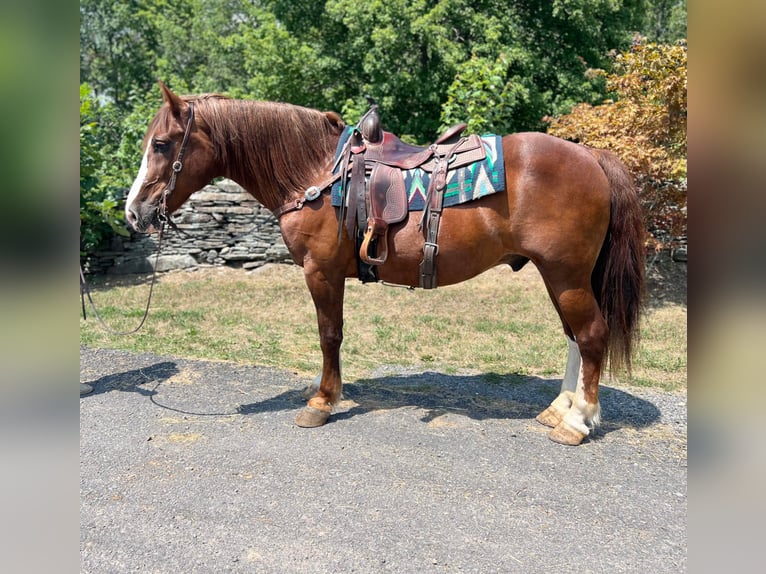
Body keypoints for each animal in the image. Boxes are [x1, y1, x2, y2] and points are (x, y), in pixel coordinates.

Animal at [127, 83, 648, 448]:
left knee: (591, 335)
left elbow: (329, 335)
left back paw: (577, 421)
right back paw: (559, 408)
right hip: (560, 276)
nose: (134, 212)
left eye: (162, 144)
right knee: (574, 338)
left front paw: (322, 401)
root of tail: (592, 155)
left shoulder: (321, 272)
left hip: (566, 275)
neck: (315, 172)